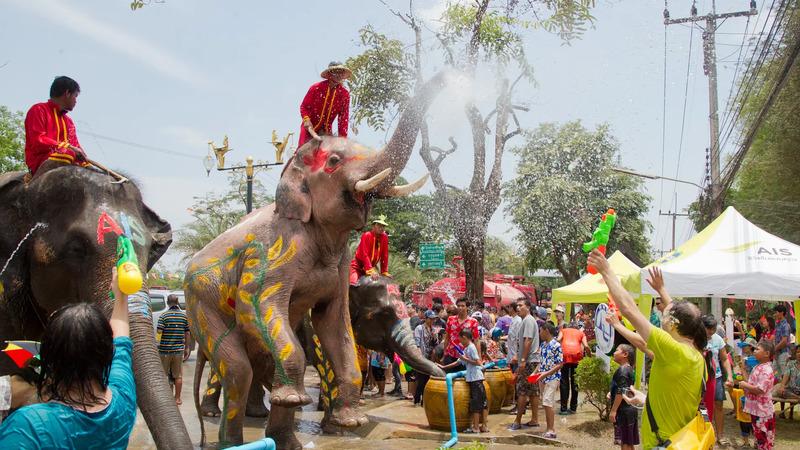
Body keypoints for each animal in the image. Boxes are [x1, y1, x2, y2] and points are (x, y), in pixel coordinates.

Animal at [184, 70, 450, 446]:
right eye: (335, 162)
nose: (446, 75)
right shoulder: (274, 251)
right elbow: (258, 305)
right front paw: (323, 416)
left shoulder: (339, 272)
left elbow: (334, 322)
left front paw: (348, 423)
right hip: (200, 303)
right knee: (237, 370)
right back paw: (233, 434)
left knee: (255, 363)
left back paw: (278, 433)